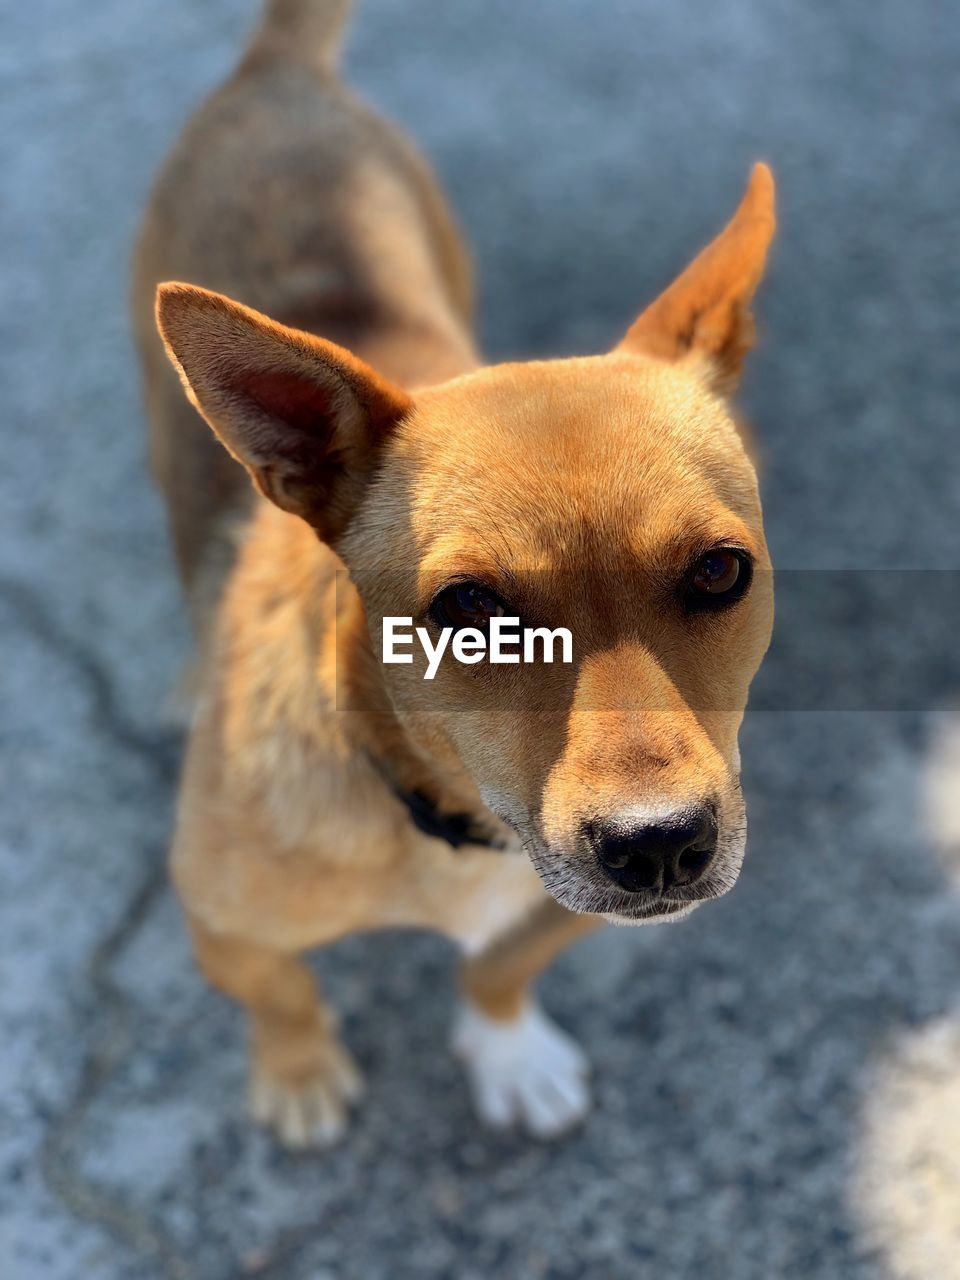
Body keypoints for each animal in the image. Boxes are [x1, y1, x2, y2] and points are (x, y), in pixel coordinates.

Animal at [135, 0, 778, 1141]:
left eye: (718, 572)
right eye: (469, 607)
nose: (661, 846)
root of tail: (280, 71)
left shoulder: (556, 909)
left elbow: (500, 967)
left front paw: (507, 1048)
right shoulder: (219, 921)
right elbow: (280, 993)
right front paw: (297, 1072)